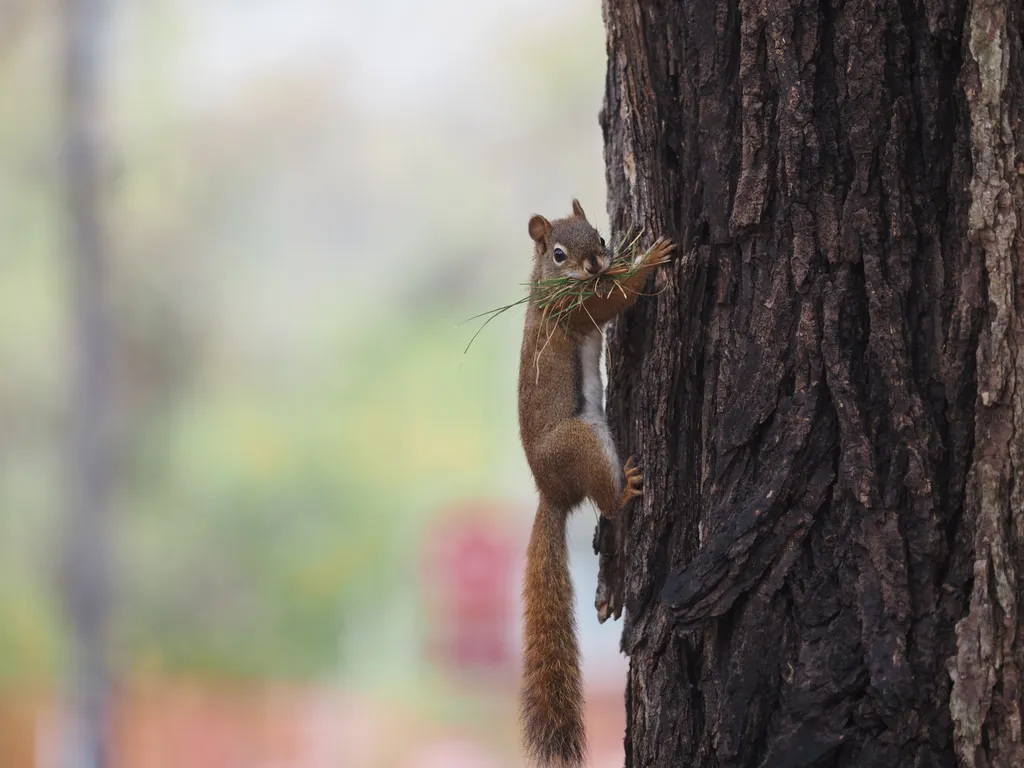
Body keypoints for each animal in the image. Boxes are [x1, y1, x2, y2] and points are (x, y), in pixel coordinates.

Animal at [520, 199, 671, 768]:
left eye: (600, 236)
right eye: (559, 253)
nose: (597, 266)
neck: (546, 286)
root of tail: (552, 492)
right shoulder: (573, 313)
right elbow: (612, 305)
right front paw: (651, 259)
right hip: (583, 440)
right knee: (607, 500)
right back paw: (626, 487)